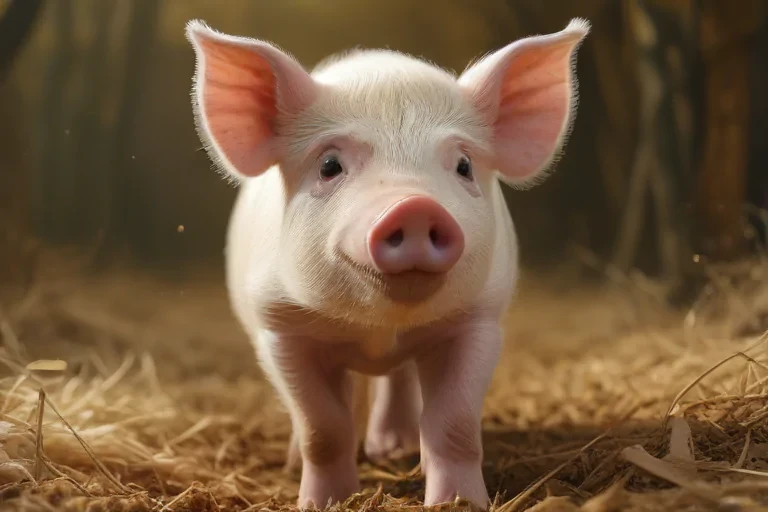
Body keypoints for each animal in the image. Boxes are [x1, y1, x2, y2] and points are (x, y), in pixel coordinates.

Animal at [185, 18, 590, 509]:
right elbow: (323, 427)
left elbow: (454, 424)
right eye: (329, 164)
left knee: (397, 380)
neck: (378, 328)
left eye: (463, 165)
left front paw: (458, 501)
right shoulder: (281, 328)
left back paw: (395, 449)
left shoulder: (478, 320)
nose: (414, 206)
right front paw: (324, 501)